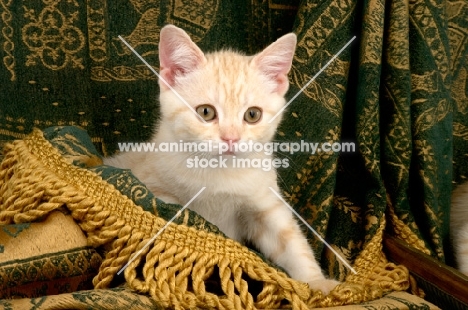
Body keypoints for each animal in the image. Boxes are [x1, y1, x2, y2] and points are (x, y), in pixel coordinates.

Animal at [105, 24, 338, 294]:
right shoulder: (155, 187)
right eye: (206, 112)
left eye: (252, 115)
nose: (231, 138)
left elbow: (290, 241)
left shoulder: (263, 201)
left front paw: (318, 284)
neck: (218, 172)